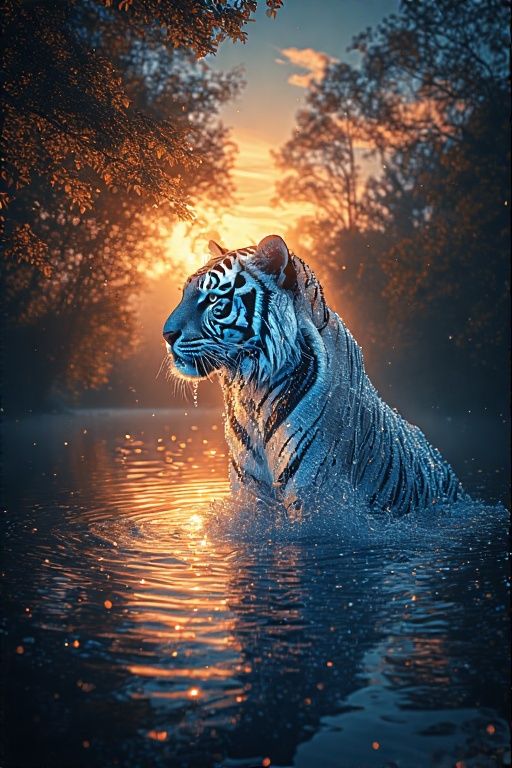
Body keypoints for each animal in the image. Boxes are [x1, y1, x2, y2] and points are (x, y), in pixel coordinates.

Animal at [163, 234, 465, 516]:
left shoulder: (311, 494)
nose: (166, 334)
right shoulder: (250, 495)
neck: (252, 390)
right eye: (184, 293)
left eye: (212, 298)